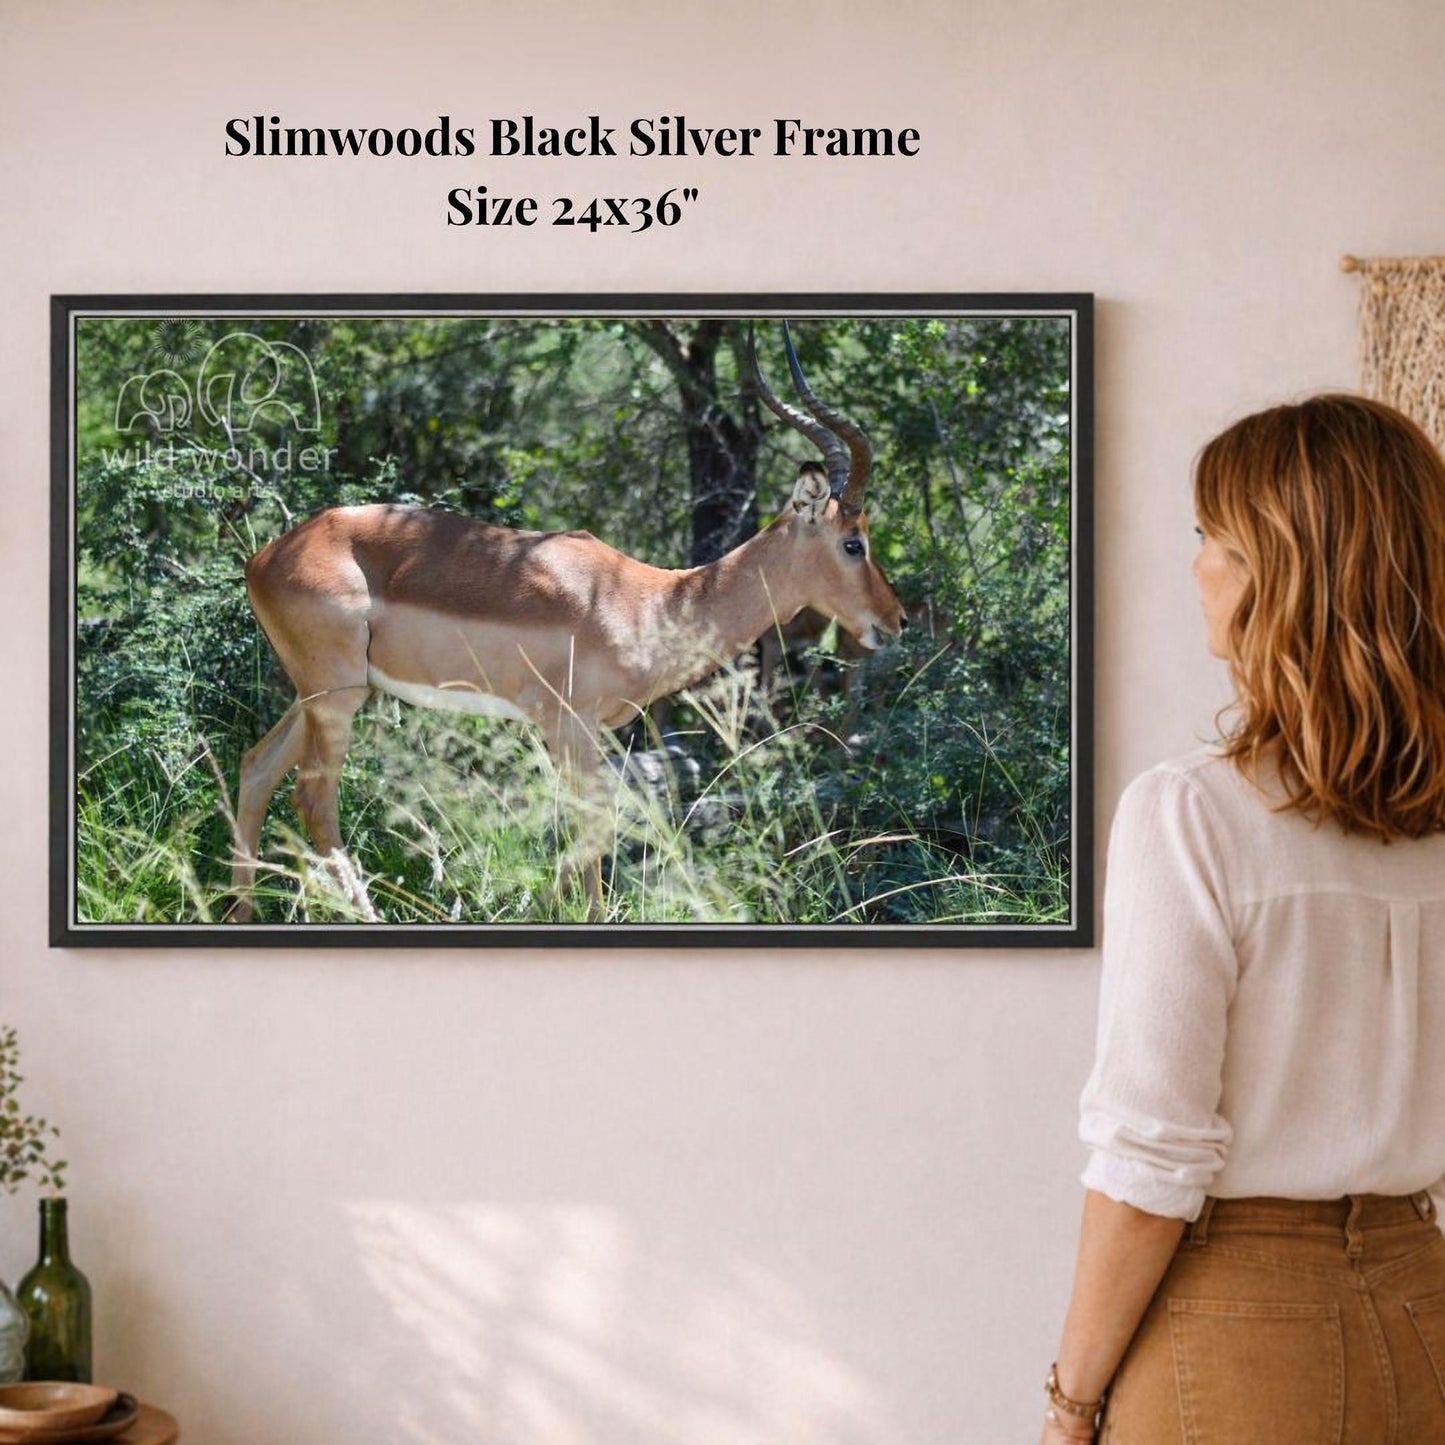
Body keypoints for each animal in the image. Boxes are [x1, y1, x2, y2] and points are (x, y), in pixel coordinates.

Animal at [229, 323, 906, 921]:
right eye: (854, 543)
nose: (895, 619)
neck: (652, 601)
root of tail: (265, 557)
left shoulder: (587, 734)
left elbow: (588, 827)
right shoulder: (567, 725)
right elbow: (595, 826)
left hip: (321, 695)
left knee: (257, 767)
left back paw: (240, 912)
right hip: (336, 698)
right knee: (314, 801)